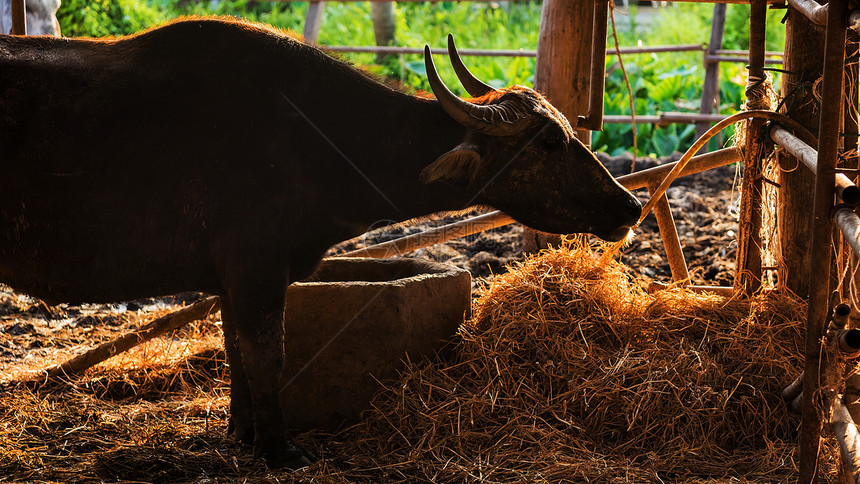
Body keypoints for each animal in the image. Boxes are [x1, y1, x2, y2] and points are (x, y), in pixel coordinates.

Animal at [0, 17, 640, 466]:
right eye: (550, 142)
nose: (630, 206)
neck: (313, 138)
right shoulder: (256, 266)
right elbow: (267, 353)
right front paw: (280, 449)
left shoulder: (234, 279)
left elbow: (237, 352)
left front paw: (245, 433)